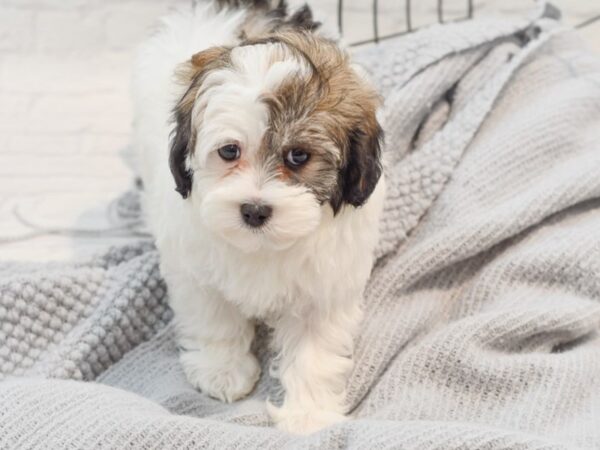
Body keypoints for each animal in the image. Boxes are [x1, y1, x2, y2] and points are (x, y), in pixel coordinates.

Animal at [132, 0, 384, 434]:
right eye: (229, 151)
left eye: (298, 156)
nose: (253, 209)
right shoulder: (196, 273)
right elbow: (214, 318)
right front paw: (222, 371)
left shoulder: (324, 288)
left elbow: (314, 351)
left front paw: (307, 414)